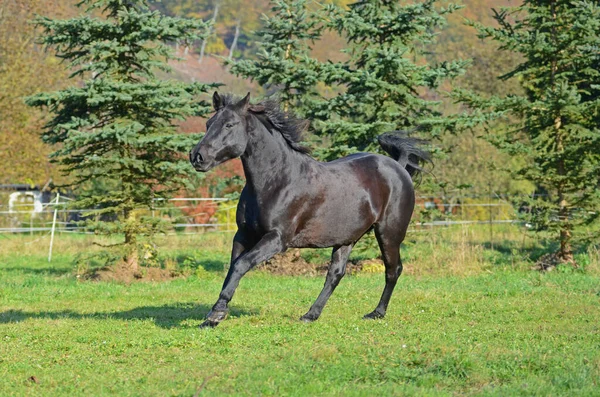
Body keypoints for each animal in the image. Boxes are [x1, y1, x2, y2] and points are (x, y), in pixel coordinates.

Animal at [190, 93, 428, 328]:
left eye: (229, 124)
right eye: (208, 123)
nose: (196, 157)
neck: (278, 180)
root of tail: (399, 167)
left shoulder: (277, 239)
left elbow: (241, 264)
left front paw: (216, 314)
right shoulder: (244, 234)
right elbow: (233, 267)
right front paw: (213, 316)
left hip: (389, 233)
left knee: (392, 270)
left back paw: (376, 313)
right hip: (347, 239)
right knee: (335, 274)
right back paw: (310, 314)